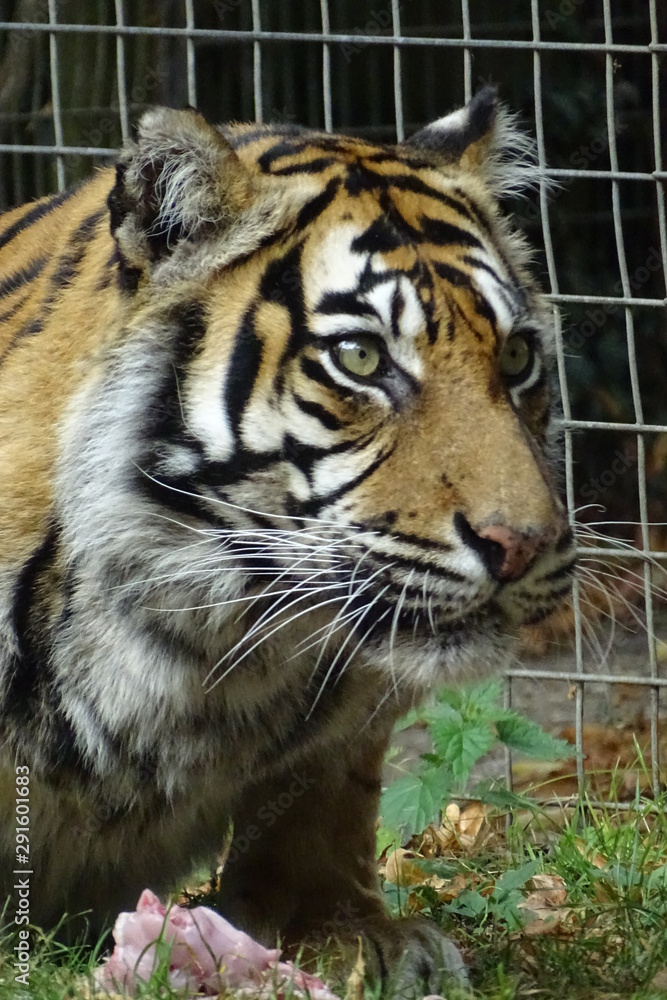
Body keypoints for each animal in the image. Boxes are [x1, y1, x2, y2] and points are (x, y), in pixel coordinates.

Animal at [0, 86, 575, 995]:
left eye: (517, 355)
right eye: (361, 357)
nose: (520, 544)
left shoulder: (353, 699)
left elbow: (323, 799)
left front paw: (346, 933)